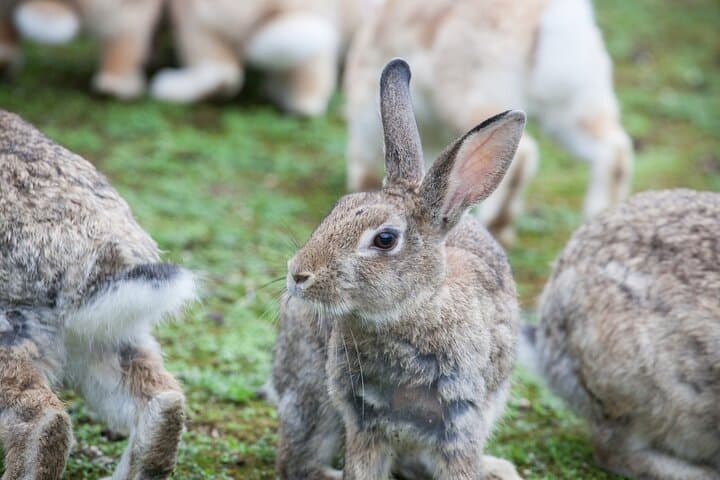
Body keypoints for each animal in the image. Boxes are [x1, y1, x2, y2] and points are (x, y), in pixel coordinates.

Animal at [272, 59, 524, 480]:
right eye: (339, 206)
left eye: (385, 239)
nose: (298, 274)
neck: (413, 311)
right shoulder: (363, 420)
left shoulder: (460, 422)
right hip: (313, 389)